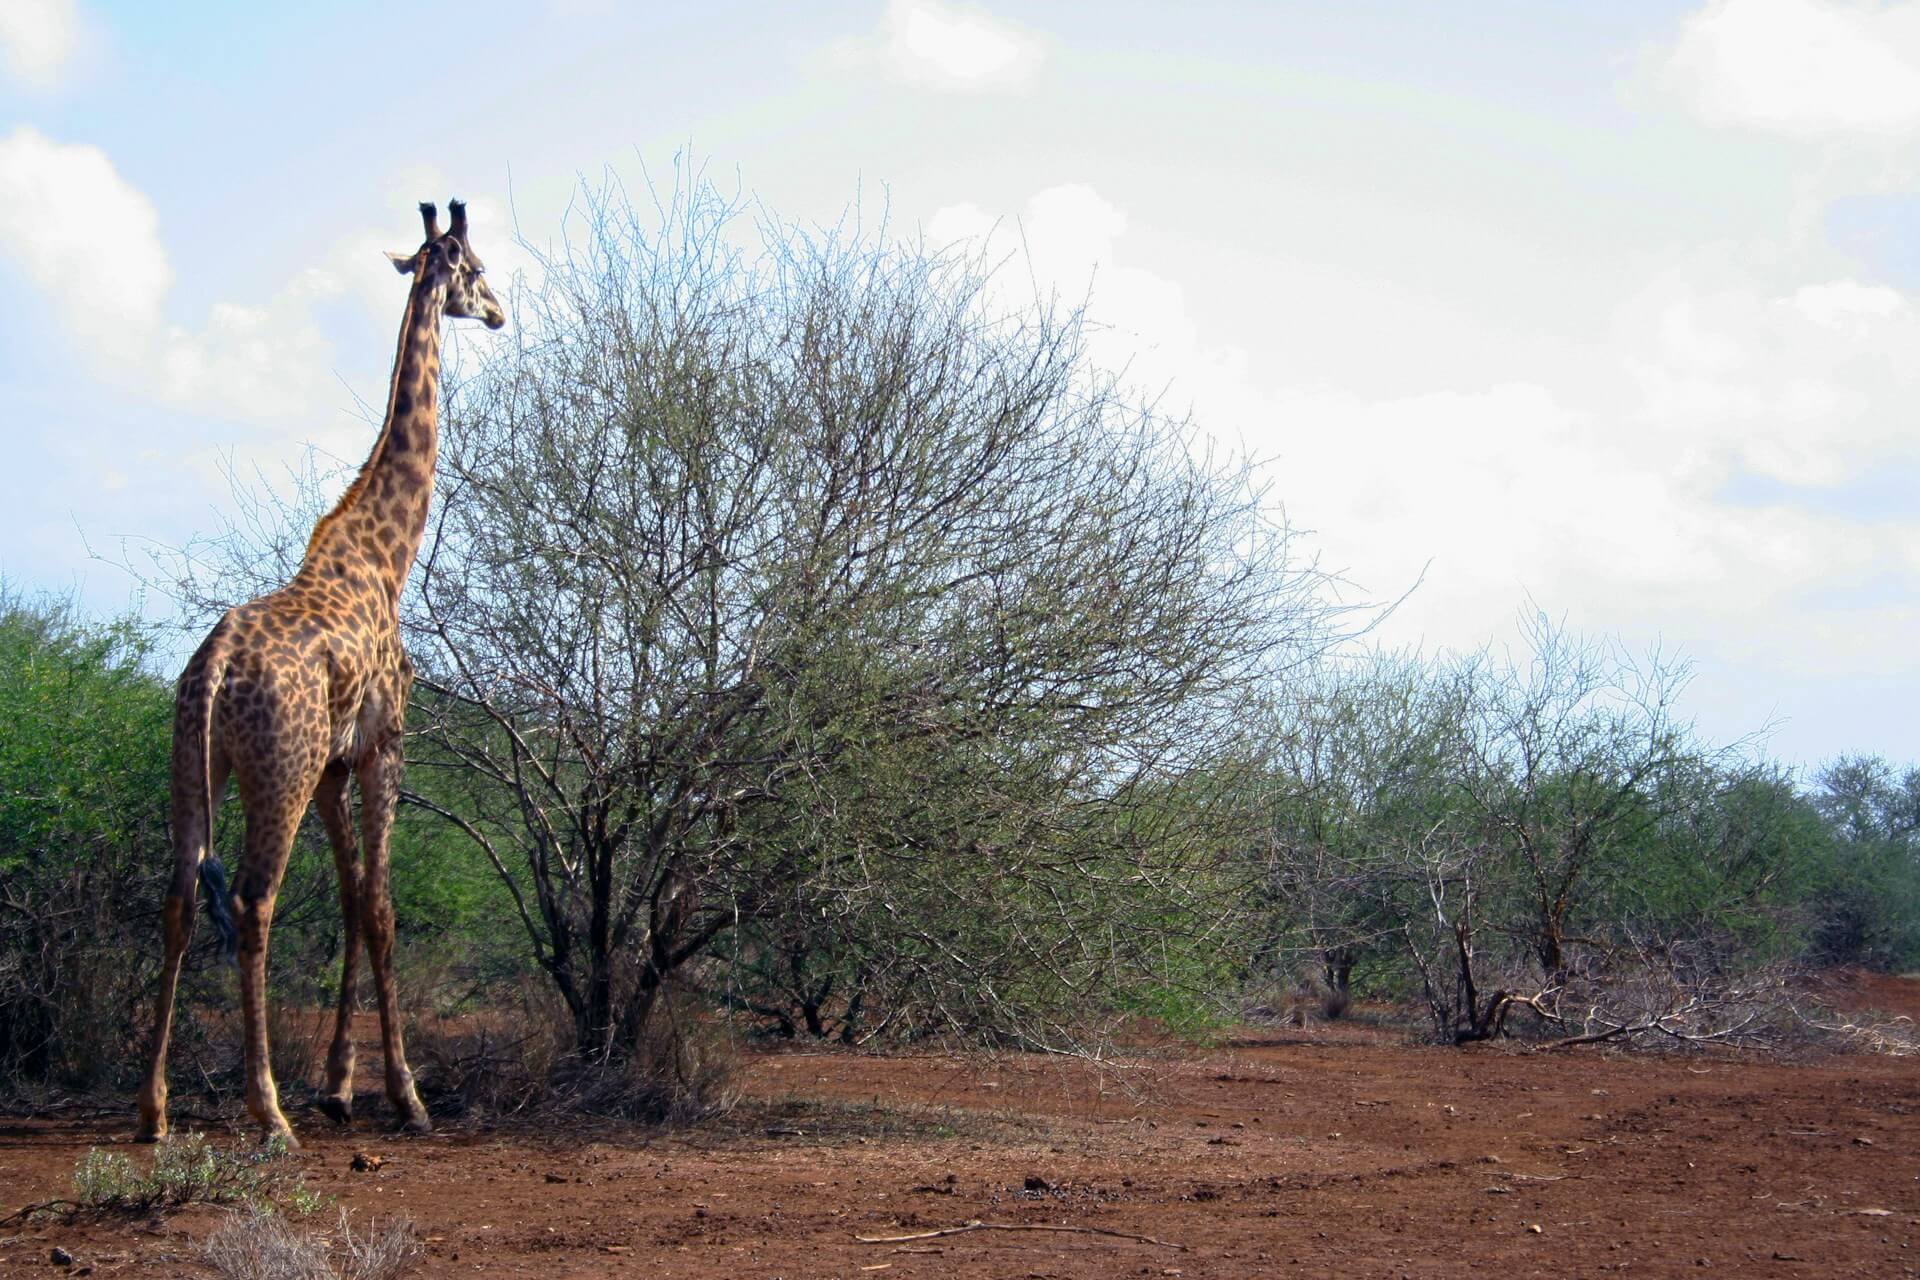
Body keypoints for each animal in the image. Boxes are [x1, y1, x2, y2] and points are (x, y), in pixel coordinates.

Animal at [140, 202, 506, 1151]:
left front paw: (340, 1085)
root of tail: (215, 670)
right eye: (475, 267)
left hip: (198, 763)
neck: (385, 555)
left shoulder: (336, 765)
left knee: (179, 896)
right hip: (281, 767)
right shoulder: (382, 745)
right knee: (254, 902)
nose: (500, 313)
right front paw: (405, 1096)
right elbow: (380, 904)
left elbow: (348, 897)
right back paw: (266, 1111)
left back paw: (153, 1109)